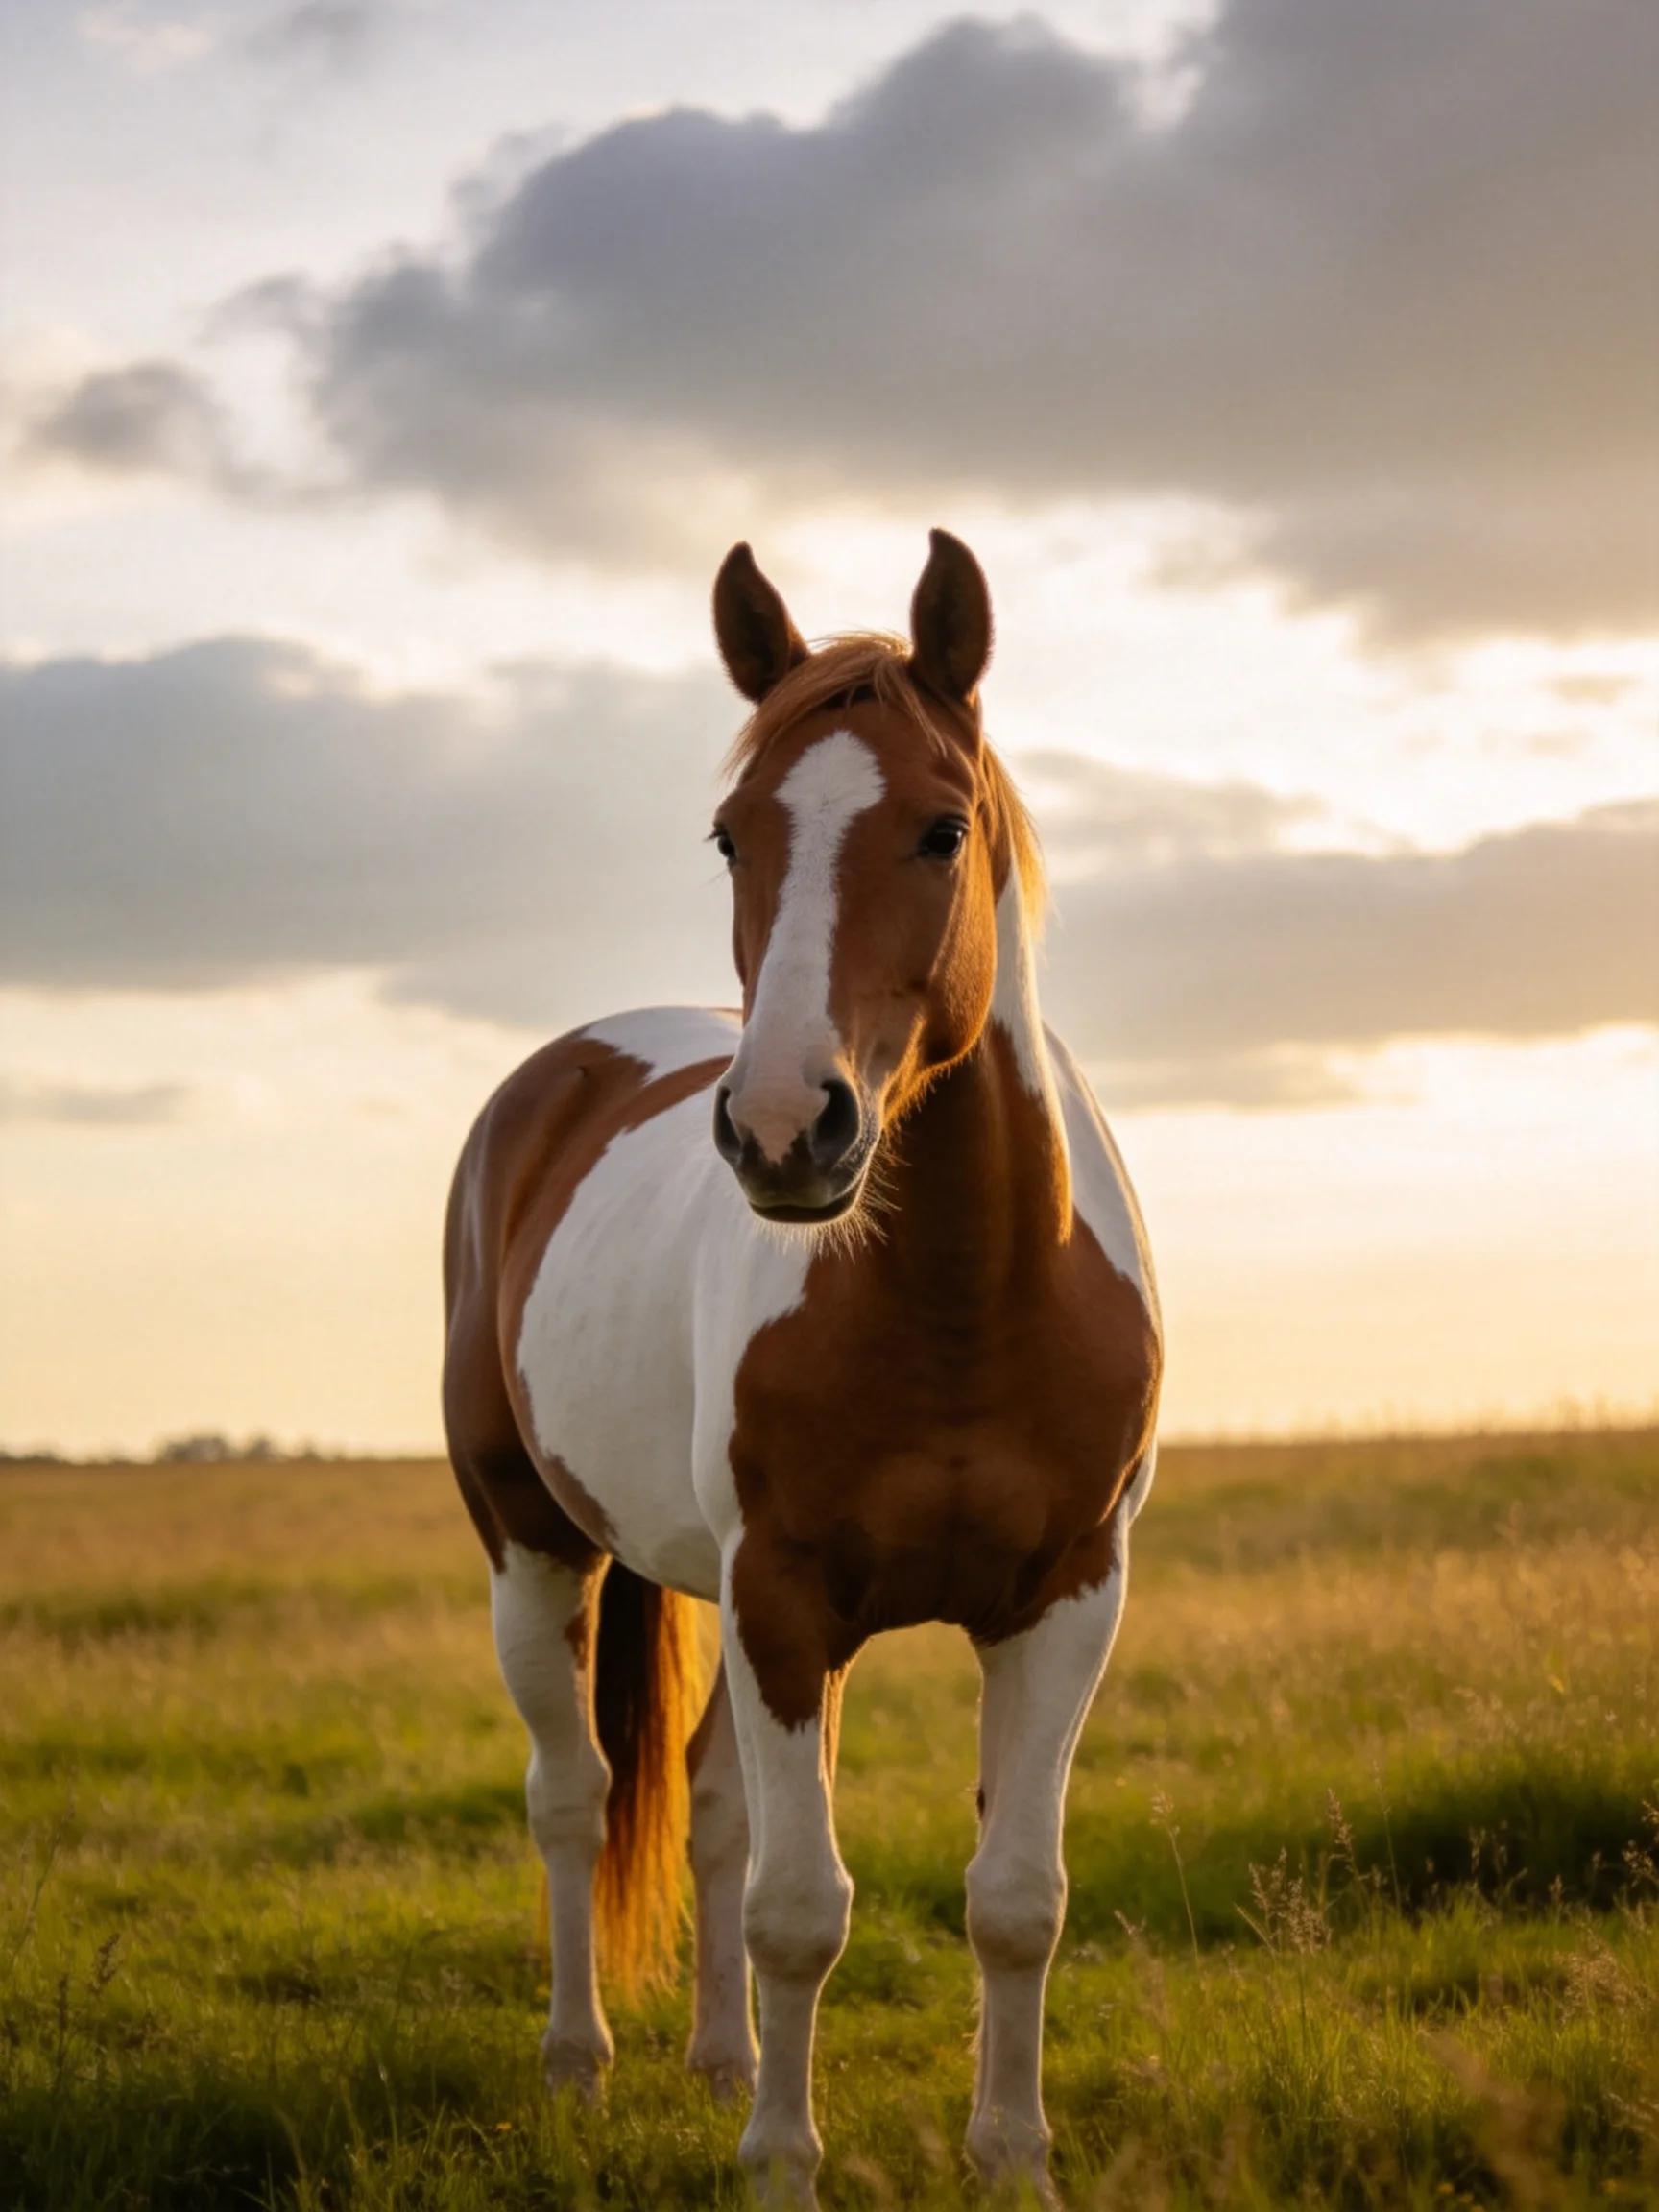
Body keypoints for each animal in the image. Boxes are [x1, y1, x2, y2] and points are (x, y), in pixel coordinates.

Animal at [442, 529, 1161, 2207]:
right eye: (729, 836)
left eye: (942, 829)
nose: (784, 1131)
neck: (962, 1298)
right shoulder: (783, 1599)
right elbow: (798, 1908)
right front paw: (782, 2162)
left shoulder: (1067, 1599)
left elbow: (1014, 1896)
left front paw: (1011, 2155)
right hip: (535, 1544)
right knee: (574, 1801)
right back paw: (581, 2065)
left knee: (706, 1808)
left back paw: (717, 2060)